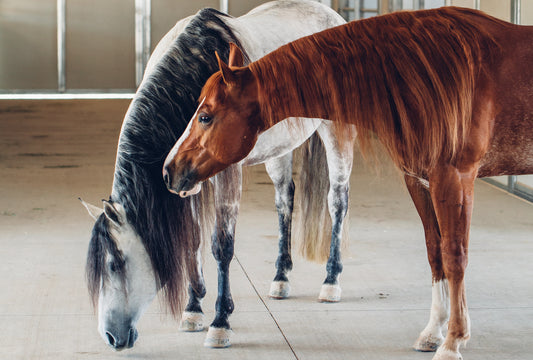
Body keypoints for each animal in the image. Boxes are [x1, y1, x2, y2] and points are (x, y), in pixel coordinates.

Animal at [164, 6, 532, 360]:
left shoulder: (454, 179)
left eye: (206, 116)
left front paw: (453, 341)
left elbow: (455, 256)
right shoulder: (420, 181)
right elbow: (435, 252)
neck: (433, 76)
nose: (170, 169)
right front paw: (432, 333)